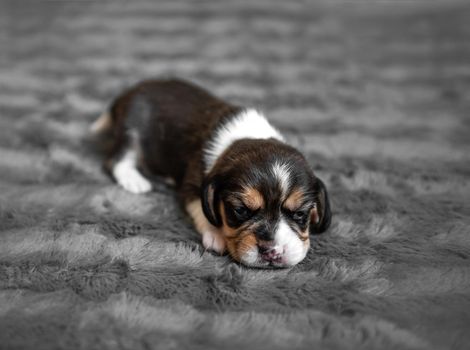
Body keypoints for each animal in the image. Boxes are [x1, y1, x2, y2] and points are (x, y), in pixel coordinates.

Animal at [92, 78, 332, 266]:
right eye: (240, 211)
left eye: (300, 214)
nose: (272, 252)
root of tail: (126, 94)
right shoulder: (192, 184)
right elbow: (202, 208)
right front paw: (216, 235)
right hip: (132, 131)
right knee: (116, 160)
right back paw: (134, 180)